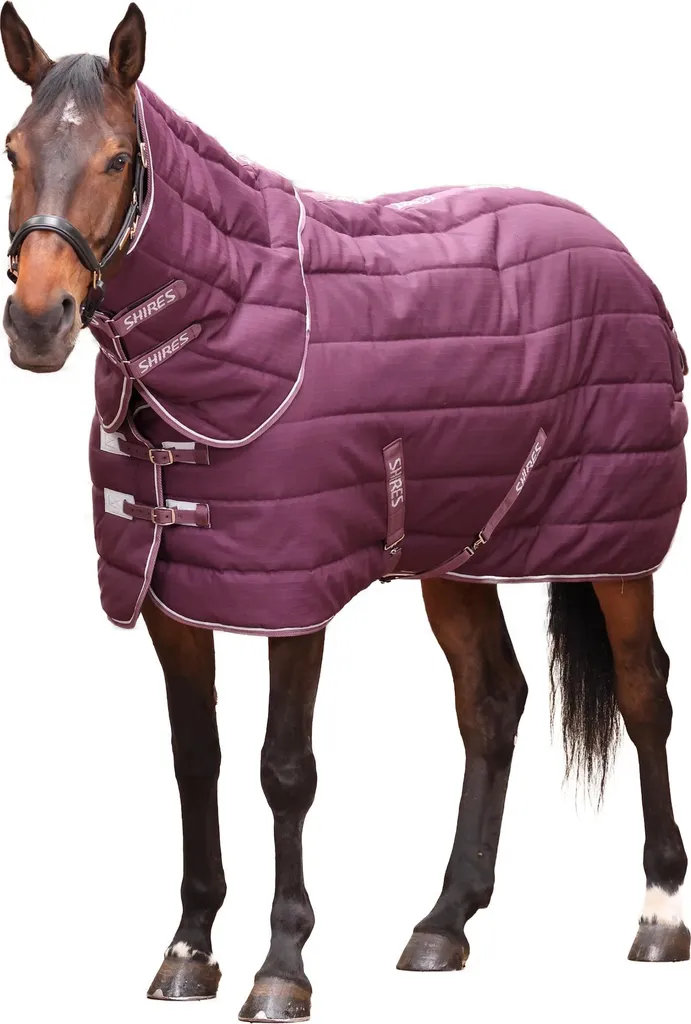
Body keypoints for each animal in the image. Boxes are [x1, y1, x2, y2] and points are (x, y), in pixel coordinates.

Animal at [2, 3, 688, 1020]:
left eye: (118, 159)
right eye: (13, 149)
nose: (37, 321)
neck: (235, 315)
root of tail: (617, 253)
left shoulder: (294, 597)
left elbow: (284, 770)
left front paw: (281, 967)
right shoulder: (173, 599)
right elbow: (195, 756)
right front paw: (188, 948)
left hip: (616, 546)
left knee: (645, 692)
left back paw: (656, 915)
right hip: (459, 555)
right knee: (492, 702)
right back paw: (444, 922)